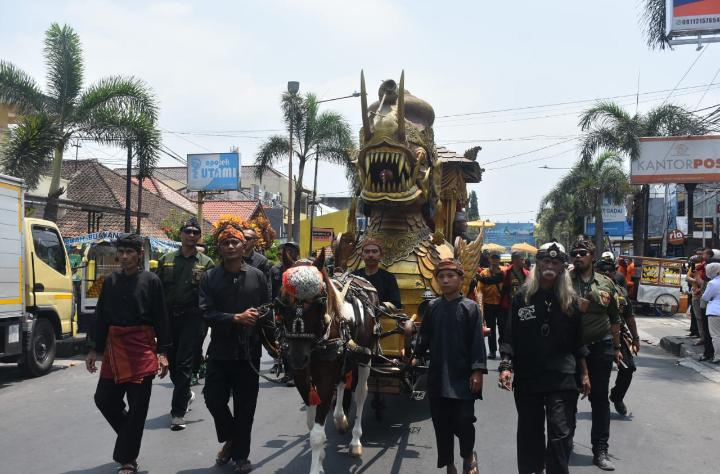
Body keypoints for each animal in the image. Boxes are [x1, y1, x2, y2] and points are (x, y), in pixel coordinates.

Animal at [276, 252, 376, 474]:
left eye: (319, 301)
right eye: (283, 300)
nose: (297, 357)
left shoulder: (325, 378)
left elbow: (316, 434)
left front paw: (316, 466)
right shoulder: (301, 378)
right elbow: (311, 423)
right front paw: (320, 457)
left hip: (366, 357)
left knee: (361, 393)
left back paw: (355, 441)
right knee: (342, 383)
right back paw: (339, 417)